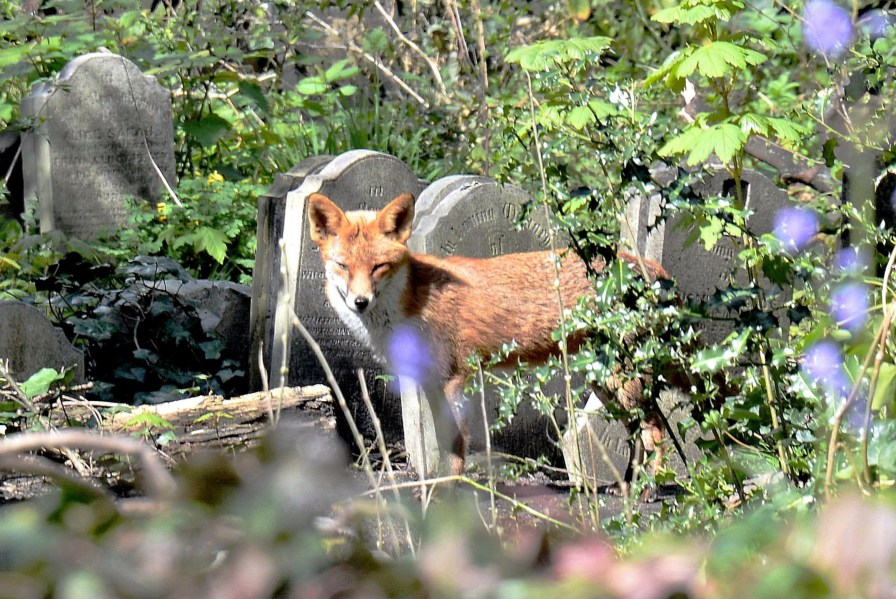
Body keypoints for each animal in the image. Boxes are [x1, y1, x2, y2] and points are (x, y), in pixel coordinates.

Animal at [307, 191, 671, 478]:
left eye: (378, 267)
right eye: (343, 266)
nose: (360, 302)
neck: (411, 303)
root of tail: (647, 266)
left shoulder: (454, 379)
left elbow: (454, 448)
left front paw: (448, 491)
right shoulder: (430, 383)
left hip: (621, 380)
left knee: (655, 429)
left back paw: (649, 490)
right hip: (606, 382)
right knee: (638, 433)